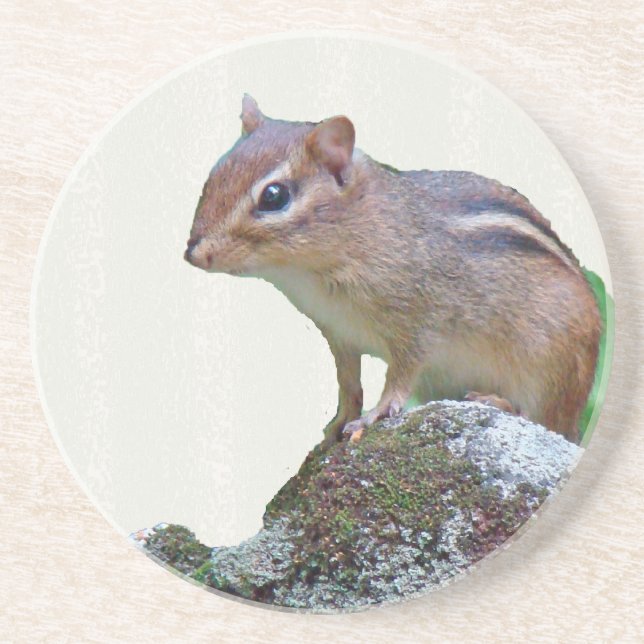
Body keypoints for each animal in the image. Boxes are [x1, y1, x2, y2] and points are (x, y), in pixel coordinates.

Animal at [185, 95, 601, 446]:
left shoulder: (418, 323)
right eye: (215, 174)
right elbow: (348, 383)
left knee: (543, 420)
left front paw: (376, 414)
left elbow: (400, 374)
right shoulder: (339, 333)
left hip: (548, 372)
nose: (194, 254)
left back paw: (495, 401)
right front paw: (339, 423)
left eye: (274, 196)